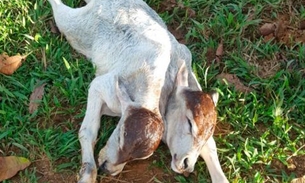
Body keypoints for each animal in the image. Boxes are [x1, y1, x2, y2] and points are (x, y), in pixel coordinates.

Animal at [47, 0, 227, 183]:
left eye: (139, 157)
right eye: (189, 122)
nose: (186, 164)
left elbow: (210, 147)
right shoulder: (102, 86)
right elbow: (88, 131)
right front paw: (87, 174)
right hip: (74, 27)